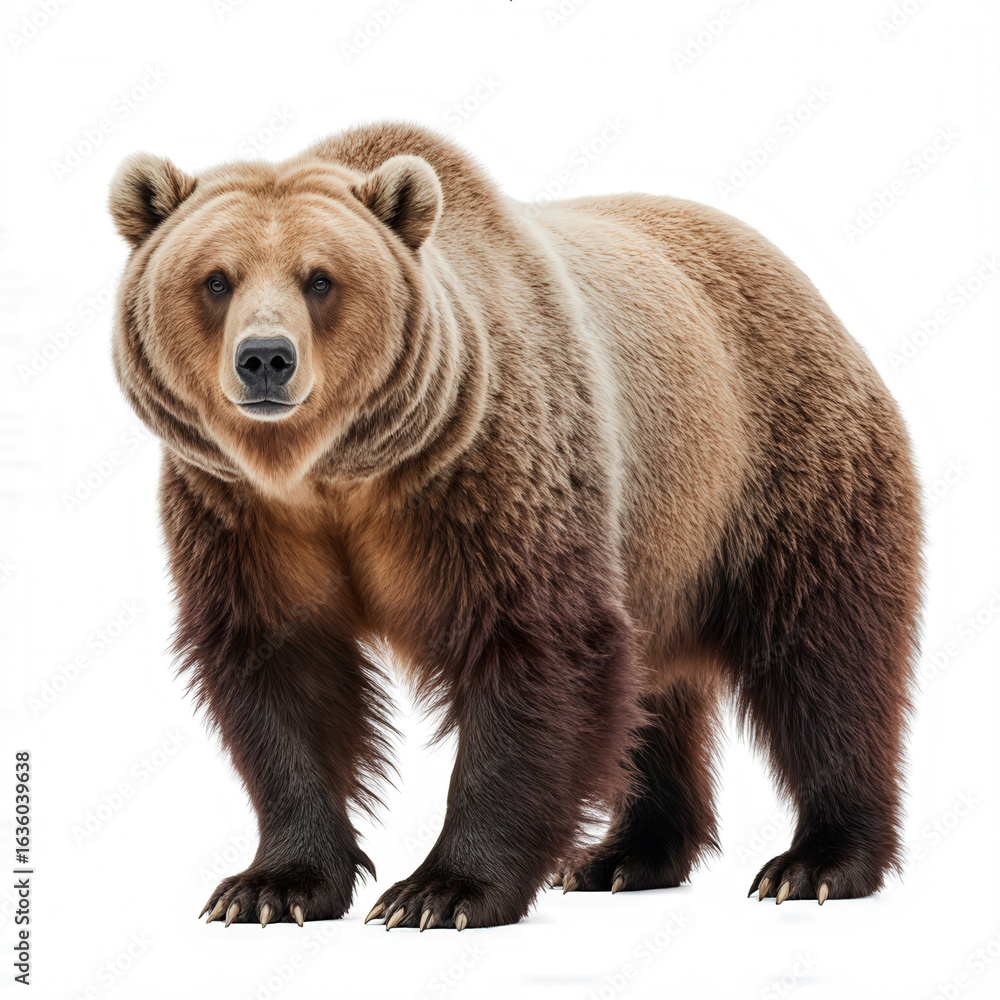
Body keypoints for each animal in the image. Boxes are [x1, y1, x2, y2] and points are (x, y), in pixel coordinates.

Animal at [107, 121, 922, 930]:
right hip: (663, 548)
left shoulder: (489, 475)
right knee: (652, 695)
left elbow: (535, 652)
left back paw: (816, 862)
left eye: (320, 278)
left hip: (777, 466)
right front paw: (271, 885)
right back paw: (623, 856)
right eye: (217, 279)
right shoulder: (243, 517)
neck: (334, 474)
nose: (266, 359)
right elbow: (282, 670)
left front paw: (441, 891)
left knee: (824, 656)